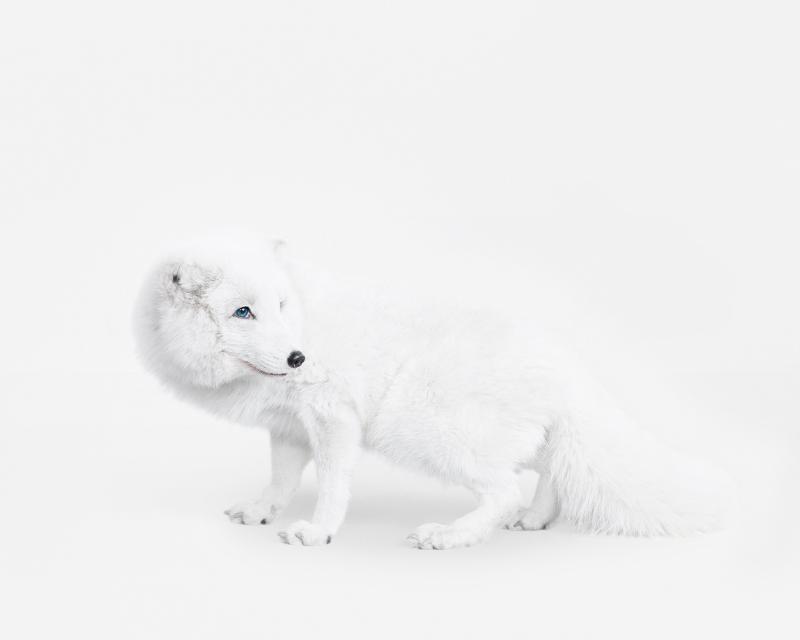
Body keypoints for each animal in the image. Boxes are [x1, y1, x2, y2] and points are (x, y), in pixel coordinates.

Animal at [133, 231, 733, 549]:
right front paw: (263, 510)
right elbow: (280, 480)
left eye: (279, 306)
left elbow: (332, 485)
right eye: (243, 311)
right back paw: (536, 518)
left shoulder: (334, 418)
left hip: (418, 428)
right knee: (546, 466)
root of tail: (565, 365)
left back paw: (450, 535)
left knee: (505, 487)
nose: (298, 358)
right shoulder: (289, 427)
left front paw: (320, 531)